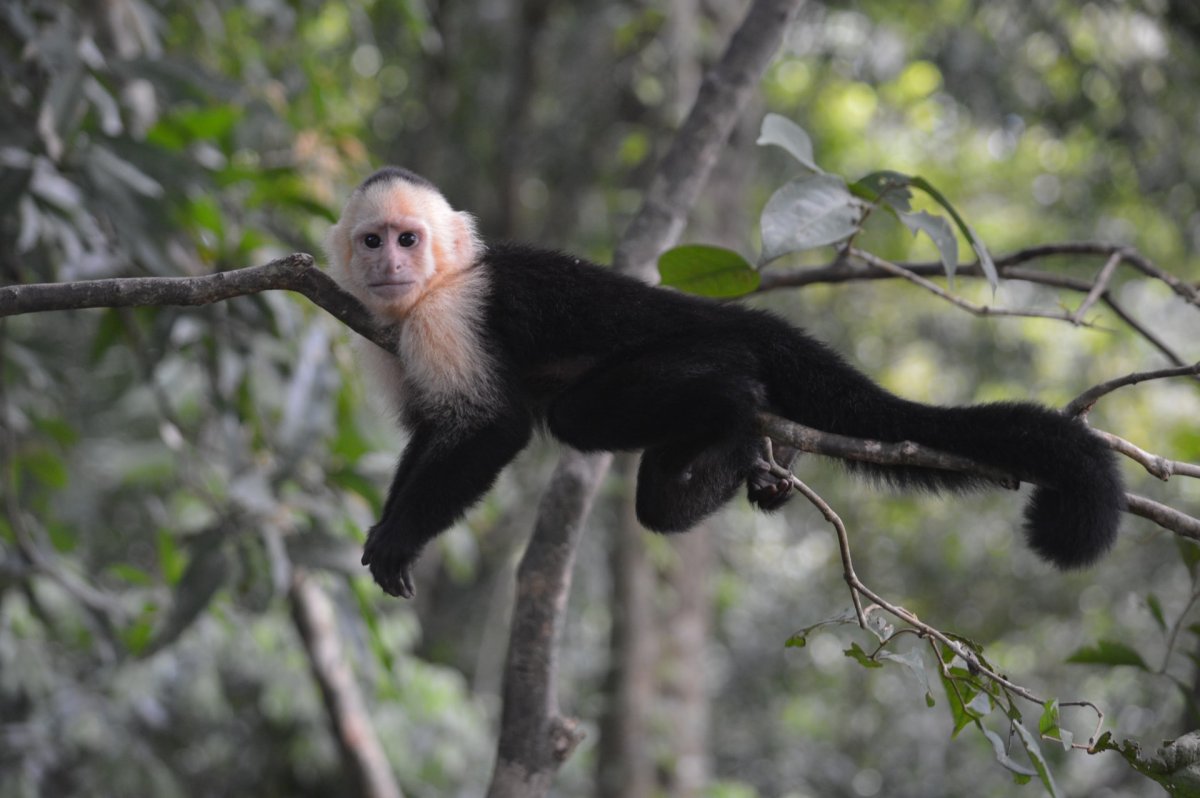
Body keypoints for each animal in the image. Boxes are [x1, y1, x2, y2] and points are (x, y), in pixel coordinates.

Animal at [326, 164, 1123, 595]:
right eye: (372, 241)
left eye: (409, 239)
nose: (389, 264)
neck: (433, 288)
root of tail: (734, 316)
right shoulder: (392, 334)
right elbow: (431, 429)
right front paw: (383, 525)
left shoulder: (448, 315)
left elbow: (493, 427)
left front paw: (401, 539)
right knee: (652, 498)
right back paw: (749, 460)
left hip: (697, 344)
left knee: (592, 414)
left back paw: (738, 412)